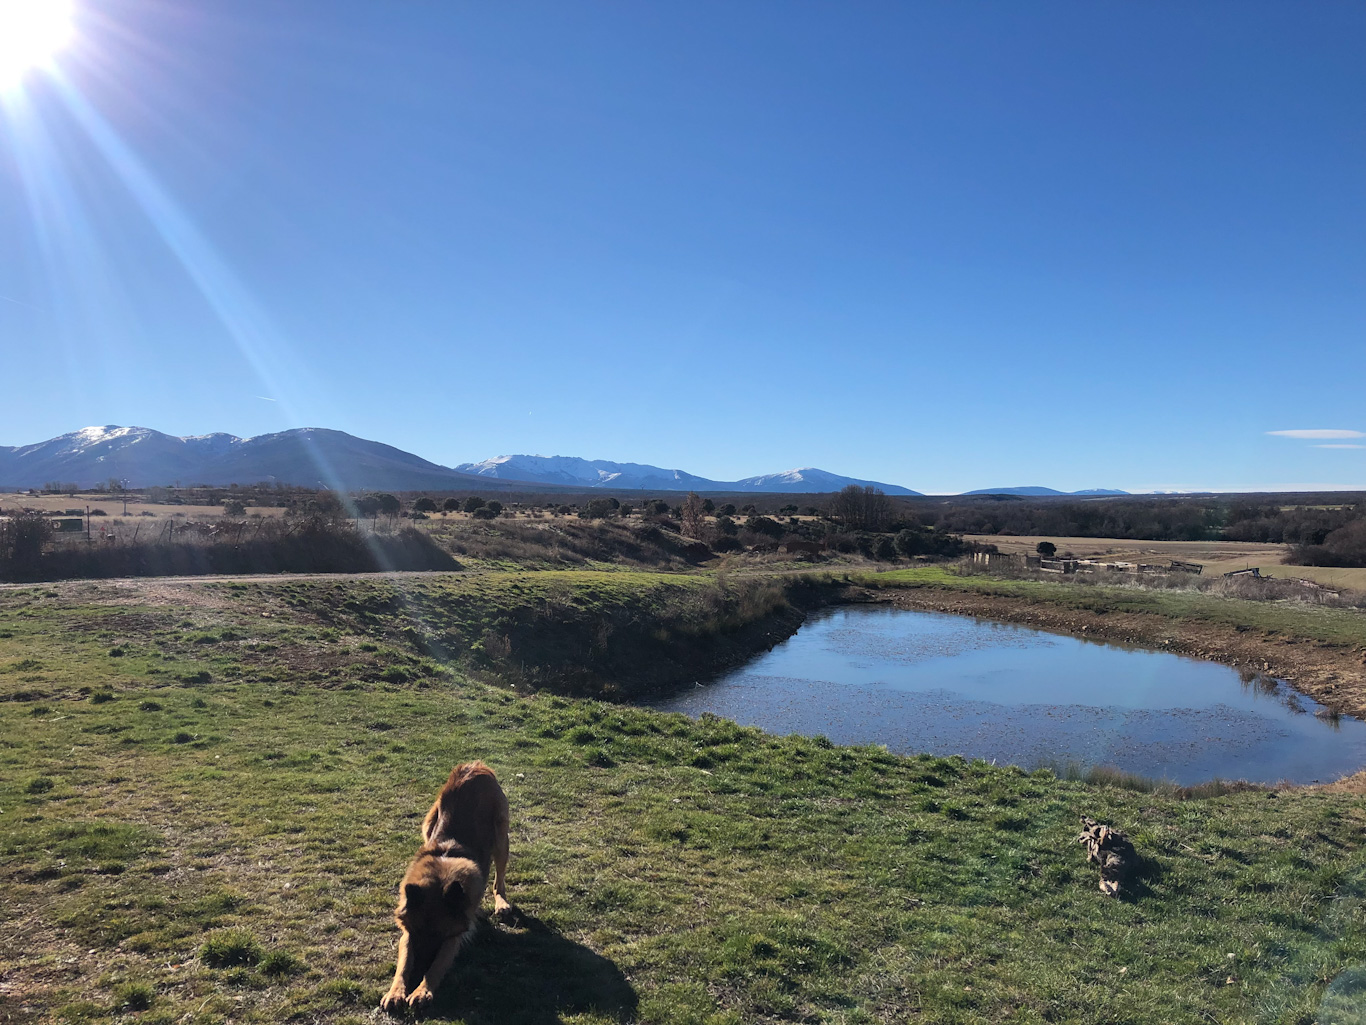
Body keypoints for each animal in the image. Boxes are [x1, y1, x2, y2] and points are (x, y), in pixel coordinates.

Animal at [379, 759, 513, 1016]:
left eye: (439, 935)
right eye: (417, 931)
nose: (418, 970)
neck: (441, 874)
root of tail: (475, 765)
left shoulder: (454, 936)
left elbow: (438, 965)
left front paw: (422, 991)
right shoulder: (407, 934)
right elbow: (403, 965)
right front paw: (396, 992)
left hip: (501, 838)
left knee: (499, 881)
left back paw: (501, 904)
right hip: (429, 822)